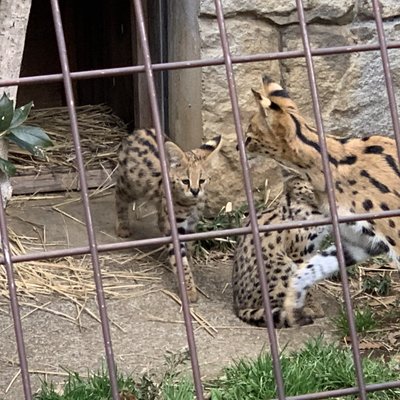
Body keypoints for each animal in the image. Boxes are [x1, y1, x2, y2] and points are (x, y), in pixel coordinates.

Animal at [115, 130, 222, 302]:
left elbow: (188, 248)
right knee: (119, 194)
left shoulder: (191, 224)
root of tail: (138, 131)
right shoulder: (176, 226)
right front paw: (189, 290)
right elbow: (181, 260)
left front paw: (188, 262)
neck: (190, 204)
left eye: (202, 180)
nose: (195, 191)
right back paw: (123, 226)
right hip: (131, 184)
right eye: (185, 181)